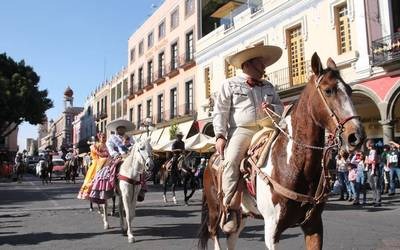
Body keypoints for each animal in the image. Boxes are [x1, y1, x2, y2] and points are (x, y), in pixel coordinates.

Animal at [198, 51, 366, 249]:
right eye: (328, 90)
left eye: (349, 90)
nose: (356, 136)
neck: (294, 164)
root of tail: (211, 159)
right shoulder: (271, 229)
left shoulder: (314, 225)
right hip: (215, 210)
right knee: (214, 233)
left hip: (241, 214)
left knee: (231, 238)